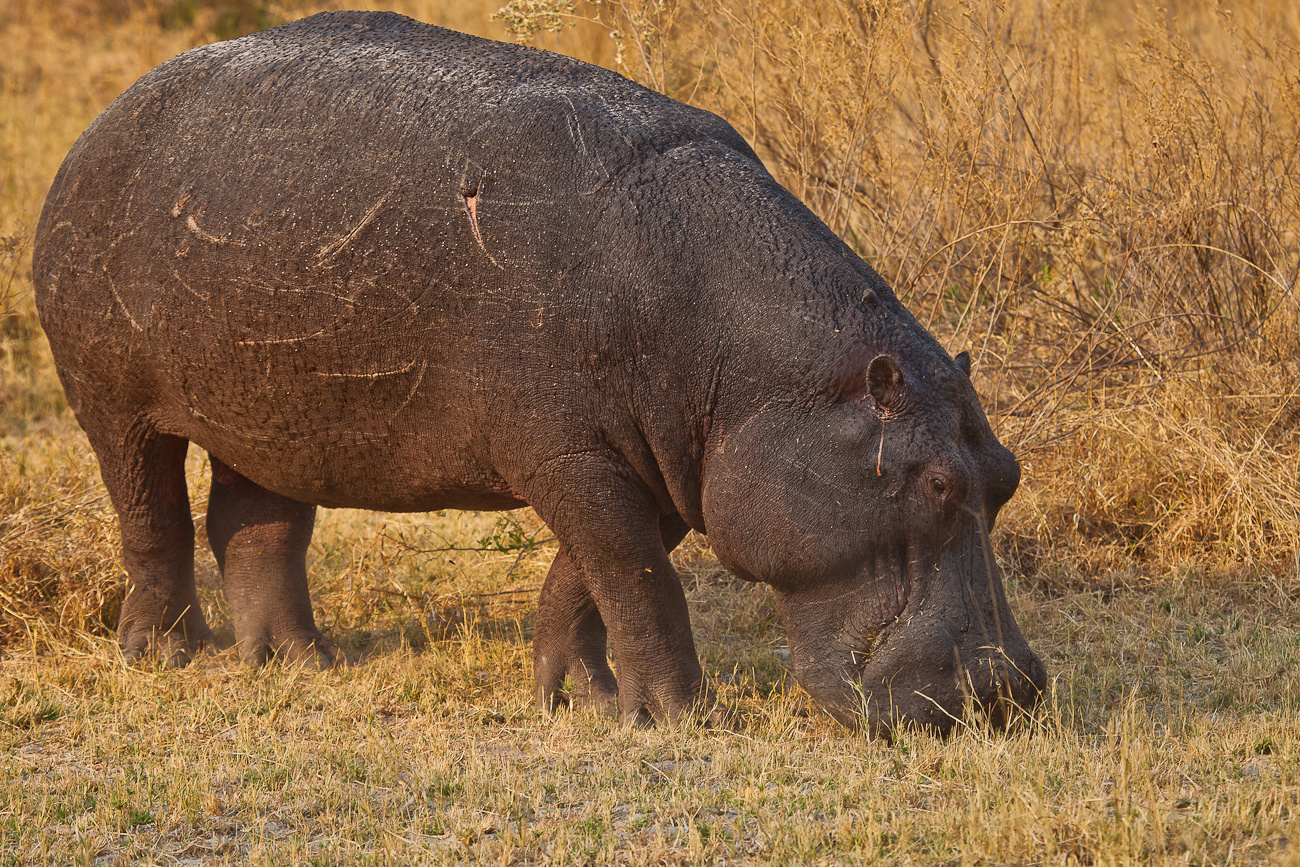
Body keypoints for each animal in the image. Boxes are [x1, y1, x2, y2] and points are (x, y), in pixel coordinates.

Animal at [32, 10, 1045, 738]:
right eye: (936, 483)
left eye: (1008, 474)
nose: (1007, 691)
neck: (765, 371)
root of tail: (101, 121)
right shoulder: (575, 458)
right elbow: (637, 579)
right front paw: (682, 715)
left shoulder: (653, 467)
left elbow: (587, 579)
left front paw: (580, 699)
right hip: (113, 401)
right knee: (152, 517)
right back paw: (165, 654)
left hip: (274, 408)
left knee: (255, 524)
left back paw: (296, 661)